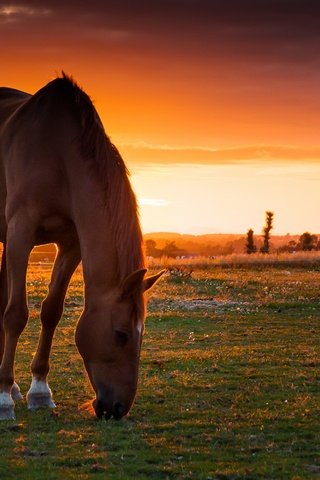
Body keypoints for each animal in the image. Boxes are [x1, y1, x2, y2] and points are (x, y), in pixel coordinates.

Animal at [0, 74, 165, 420]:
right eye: (121, 334)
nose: (117, 408)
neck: (57, 155)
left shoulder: (71, 243)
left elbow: (51, 311)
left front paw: (39, 391)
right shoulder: (21, 232)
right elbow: (16, 313)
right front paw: (3, 398)